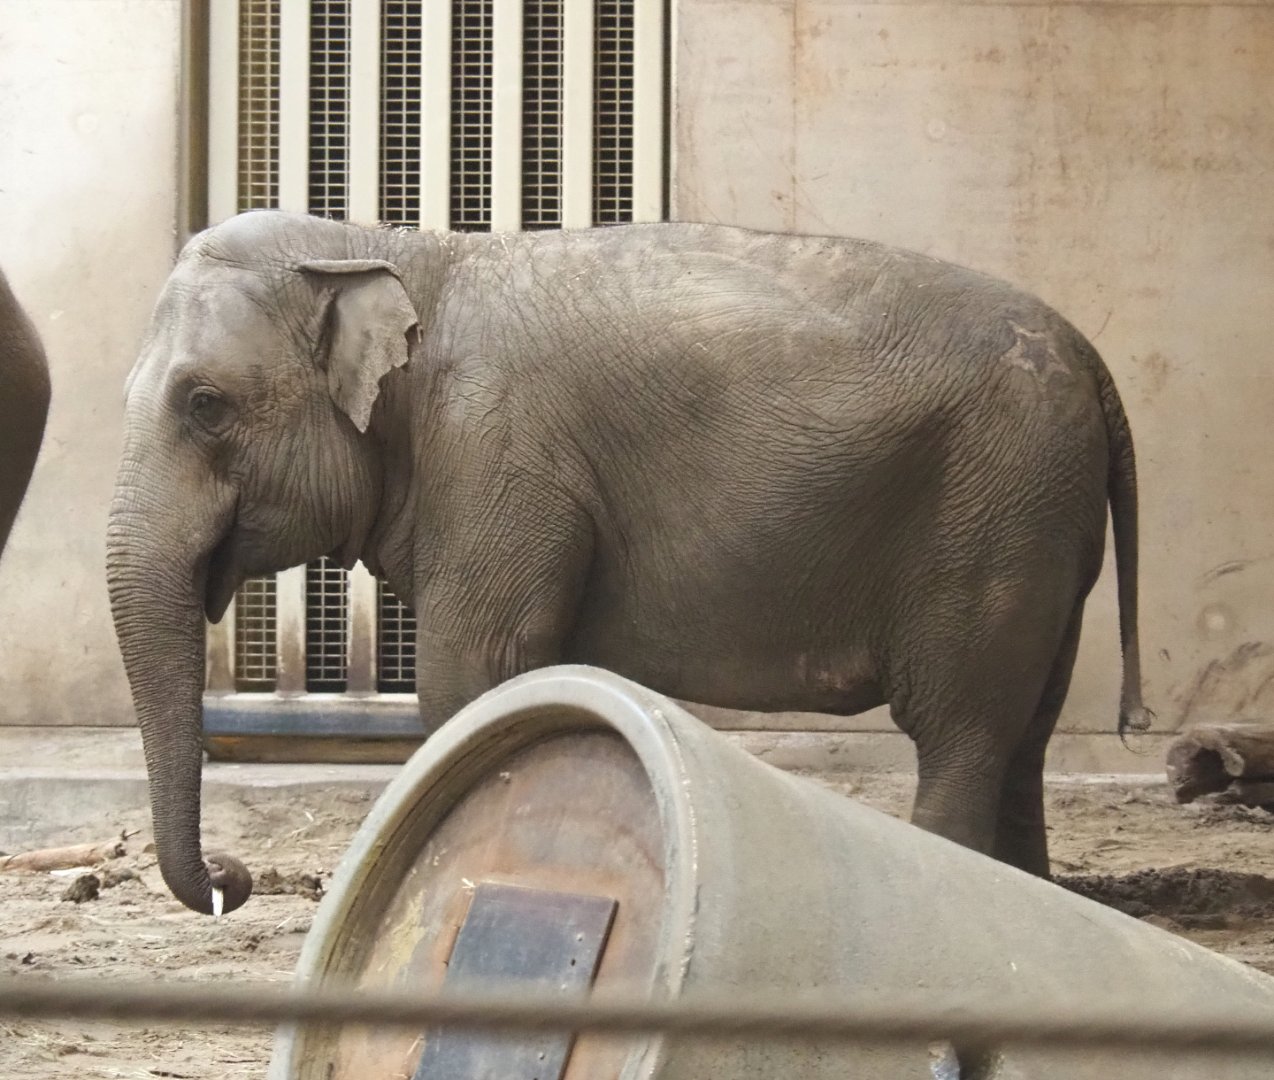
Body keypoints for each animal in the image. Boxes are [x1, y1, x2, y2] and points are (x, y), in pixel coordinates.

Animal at [107, 210, 1152, 916]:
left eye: (203, 403)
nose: (234, 882)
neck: (392, 245)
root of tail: (1091, 354)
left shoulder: (498, 458)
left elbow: (469, 679)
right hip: (1041, 527)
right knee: (1025, 731)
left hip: (994, 515)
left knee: (962, 730)